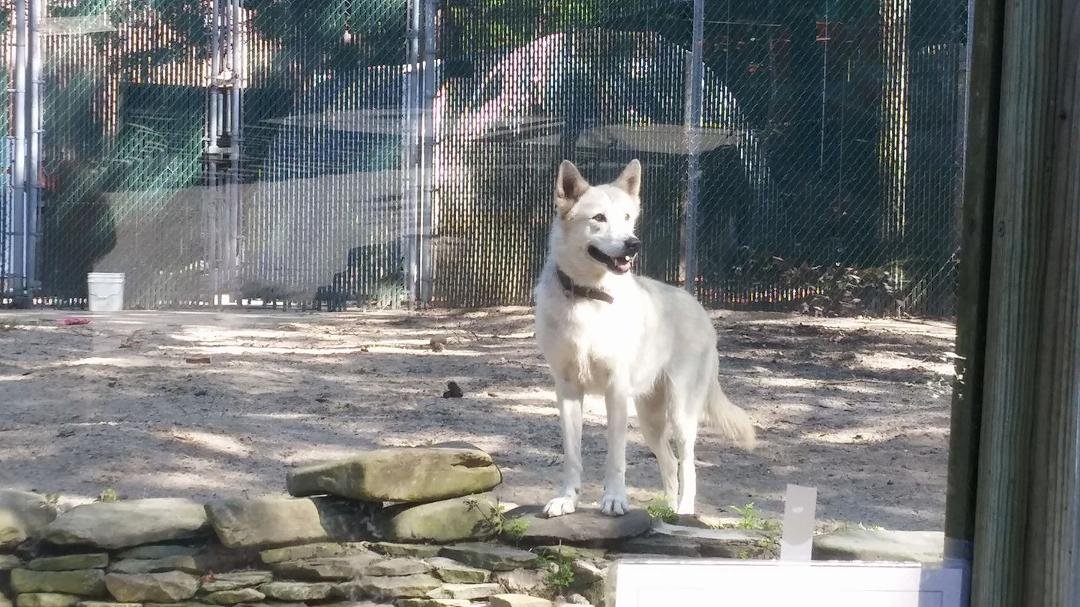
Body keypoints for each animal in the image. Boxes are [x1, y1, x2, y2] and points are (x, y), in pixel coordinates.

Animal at [533, 159, 756, 517]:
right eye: (599, 218)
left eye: (627, 217)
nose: (633, 244)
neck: (588, 297)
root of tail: (698, 307)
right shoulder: (566, 390)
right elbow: (572, 455)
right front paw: (567, 499)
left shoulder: (615, 391)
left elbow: (616, 457)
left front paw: (615, 500)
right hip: (649, 419)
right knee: (668, 462)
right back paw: (666, 508)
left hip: (680, 414)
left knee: (687, 463)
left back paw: (683, 511)